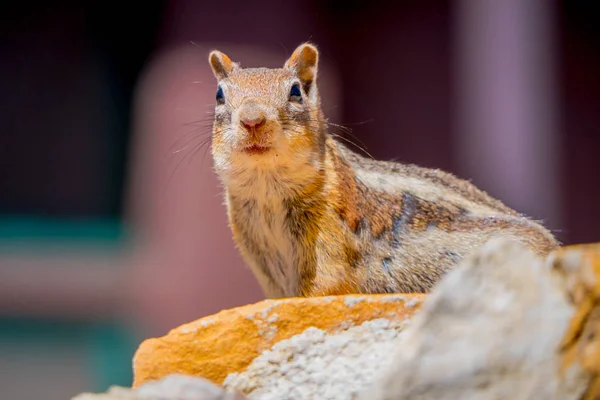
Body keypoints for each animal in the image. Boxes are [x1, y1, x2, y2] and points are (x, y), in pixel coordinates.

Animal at [206, 42, 556, 298]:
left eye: (295, 92)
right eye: (219, 94)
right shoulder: (267, 268)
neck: (267, 188)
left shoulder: (328, 244)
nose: (252, 120)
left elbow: (322, 287)